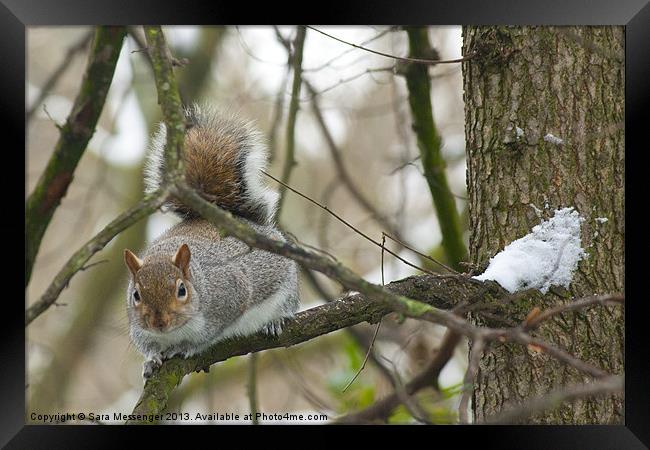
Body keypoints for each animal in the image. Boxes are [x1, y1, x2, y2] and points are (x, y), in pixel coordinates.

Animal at [121, 103, 298, 378]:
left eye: (181, 290)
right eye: (136, 295)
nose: (159, 323)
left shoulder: (230, 296)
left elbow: (207, 336)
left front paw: (184, 347)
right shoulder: (140, 328)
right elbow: (147, 344)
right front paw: (151, 359)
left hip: (287, 284)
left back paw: (276, 320)